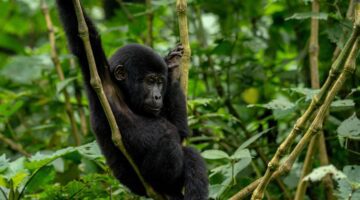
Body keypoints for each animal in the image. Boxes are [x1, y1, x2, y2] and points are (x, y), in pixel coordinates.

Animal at [56, 0, 208, 199]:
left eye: (160, 82)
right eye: (150, 81)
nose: (158, 96)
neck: (125, 96)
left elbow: (181, 131)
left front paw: (173, 68)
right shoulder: (101, 81)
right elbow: (82, 35)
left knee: (189, 153)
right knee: (170, 141)